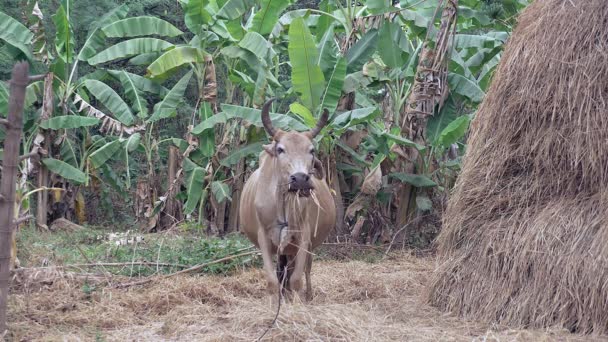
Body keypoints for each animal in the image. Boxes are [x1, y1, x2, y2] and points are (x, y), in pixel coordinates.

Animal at [240, 97, 338, 300]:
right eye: (280, 149)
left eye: (312, 150)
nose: (300, 178)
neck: (282, 203)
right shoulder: (264, 238)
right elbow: (272, 281)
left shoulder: (304, 237)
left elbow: (296, 279)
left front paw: (297, 301)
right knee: (283, 271)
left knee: (304, 270)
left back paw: (307, 295)